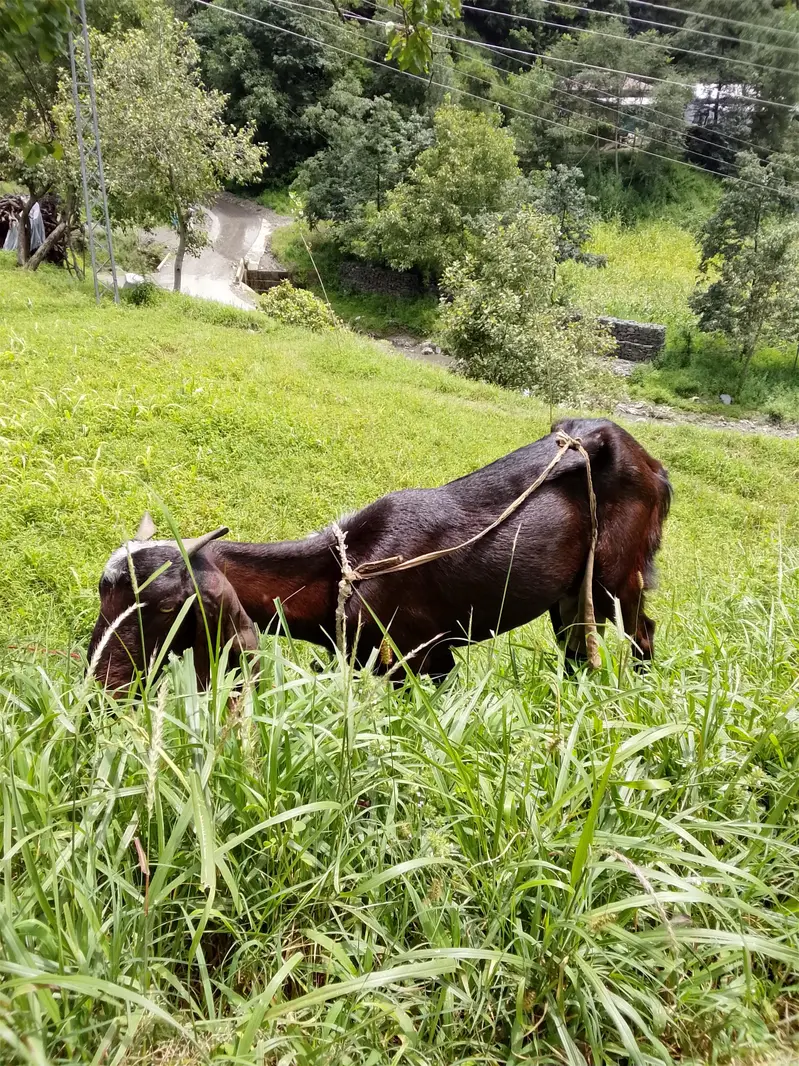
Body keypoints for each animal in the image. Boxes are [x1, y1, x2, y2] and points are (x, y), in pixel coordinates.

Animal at [87, 418, 671, 691]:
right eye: (102, 594)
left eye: (166, 607)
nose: (100, 683)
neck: (343, 569)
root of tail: (652, 464)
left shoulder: (424, 655)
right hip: (572, 593)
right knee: (578, 646)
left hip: (620, 577)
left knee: (643, 632)